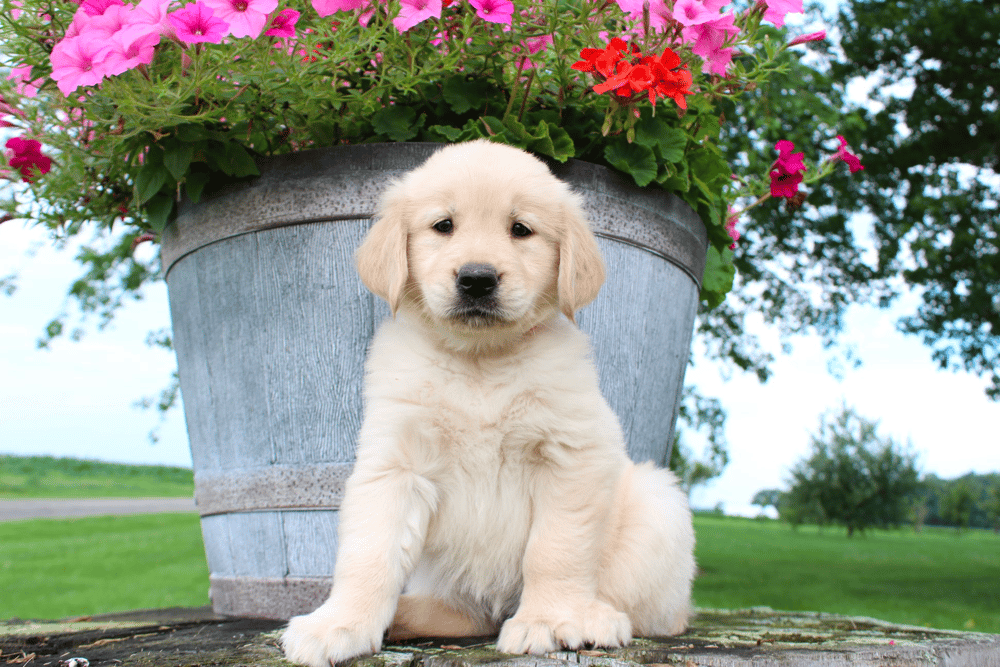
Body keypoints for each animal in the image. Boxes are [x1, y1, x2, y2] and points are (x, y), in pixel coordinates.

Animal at [278, 141, 692, 667]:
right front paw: (339, 624)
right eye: (443, 225)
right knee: (469, 613)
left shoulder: (571, 456)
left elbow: (555, 550)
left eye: (521, 230)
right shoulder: (394, 465)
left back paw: (595, 619)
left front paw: (550, 619)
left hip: (657, 502)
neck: (480, 362)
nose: (477, 279)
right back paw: (406, 616)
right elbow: (368, 554)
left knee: (649, 613)